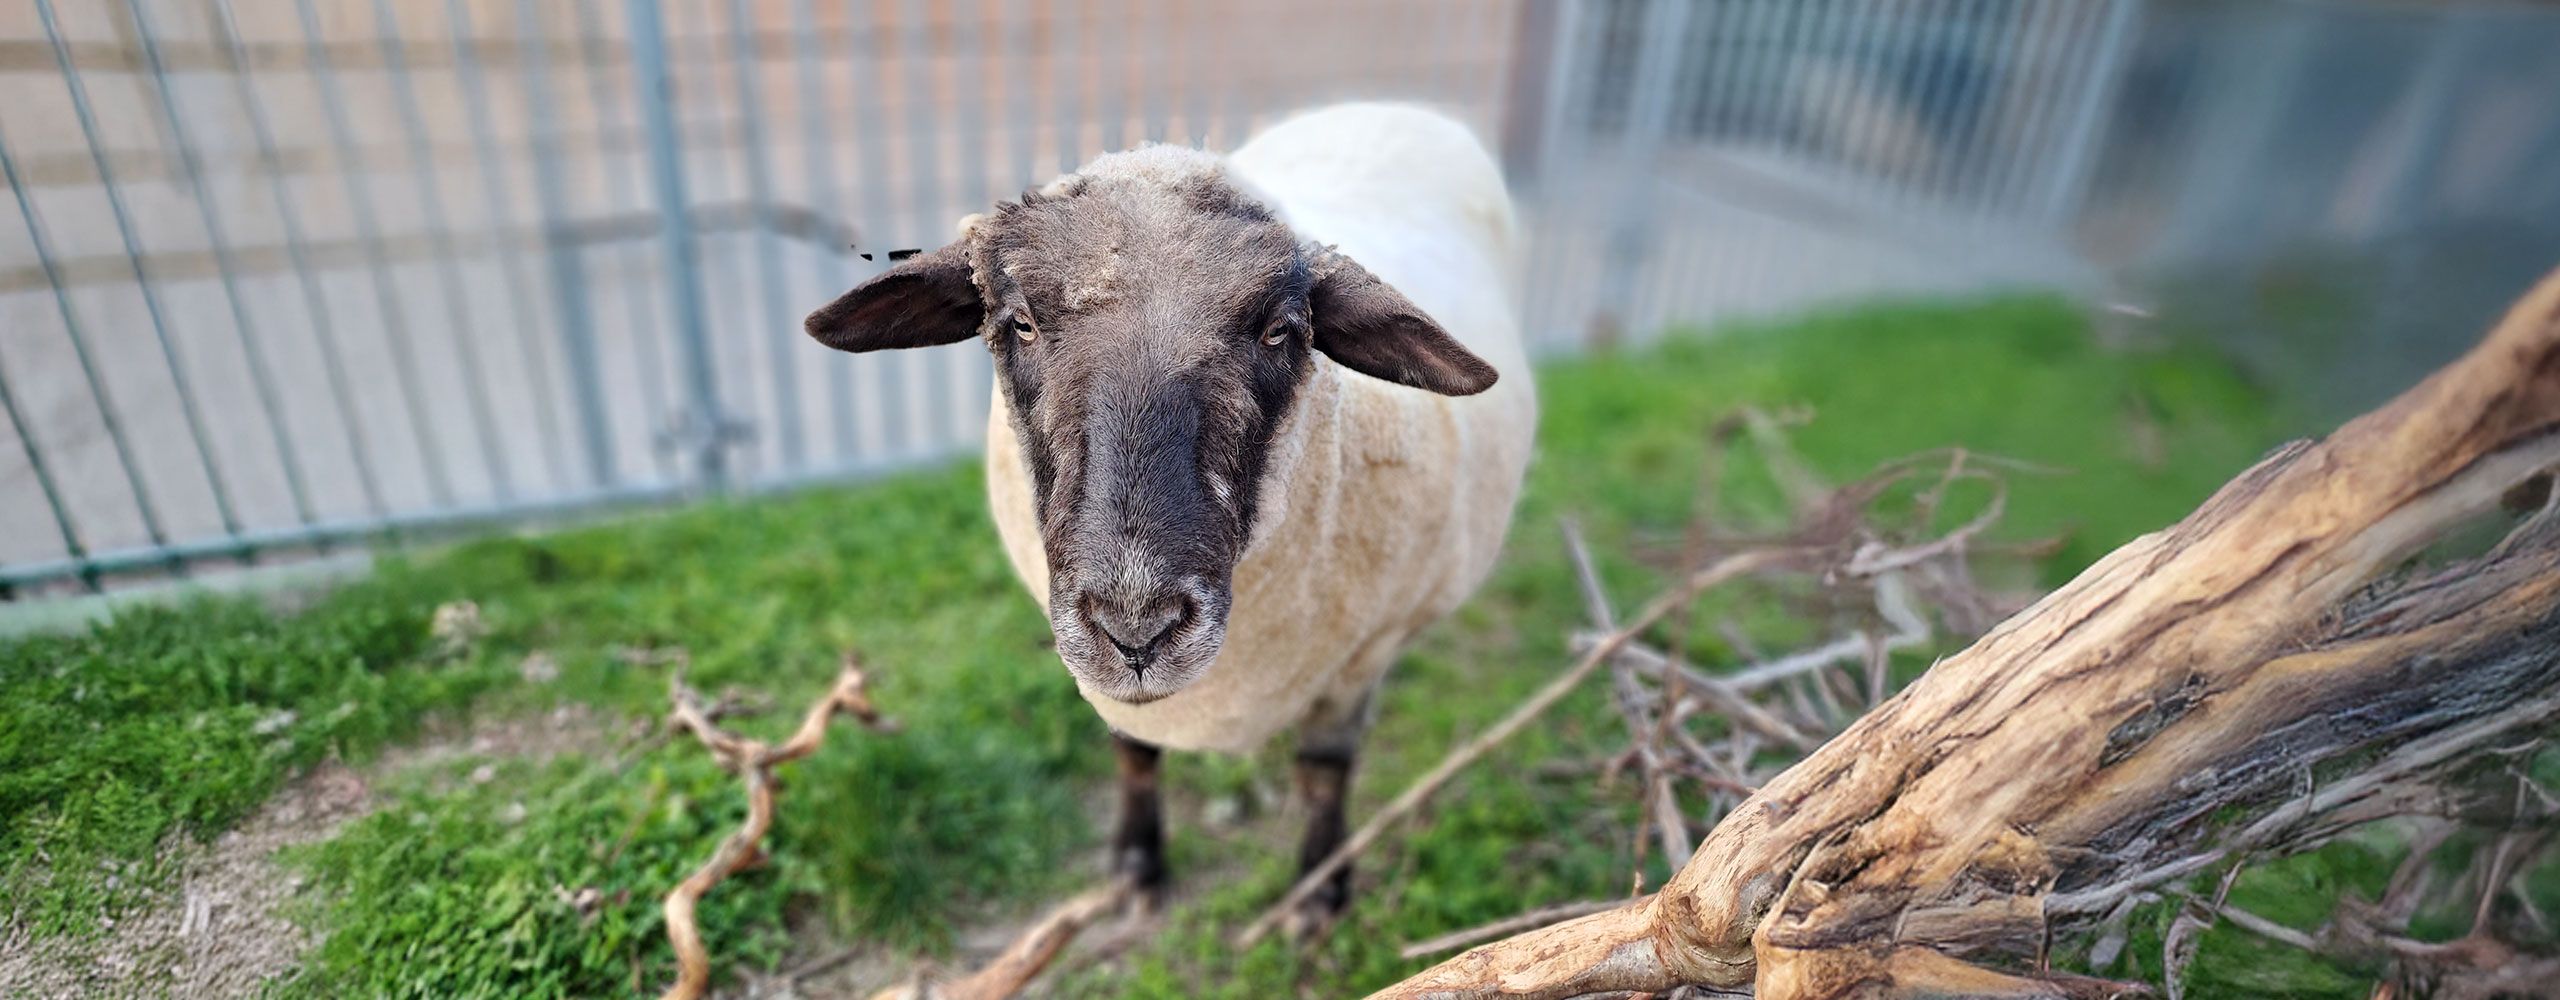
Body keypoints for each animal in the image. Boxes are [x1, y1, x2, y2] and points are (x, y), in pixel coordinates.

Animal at [802, 102, 1536, 932]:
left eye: (1280, 329)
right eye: (1019, 322)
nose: (1136, 629)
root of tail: (1384, 106)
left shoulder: (1364, 653)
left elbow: (1323, 769)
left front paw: (1318, 895)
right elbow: (1132, 752)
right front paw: (1135, 868)